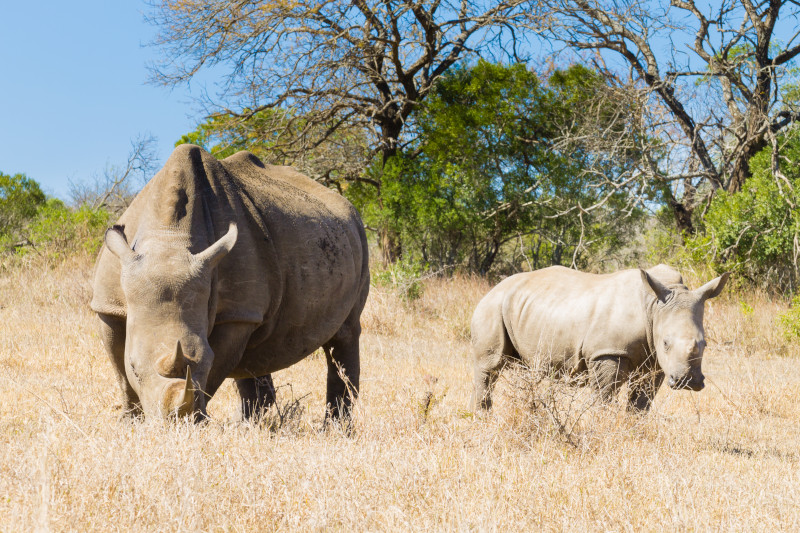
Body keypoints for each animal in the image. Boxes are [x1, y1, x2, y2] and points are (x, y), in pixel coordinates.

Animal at [92, 144, 370, 420]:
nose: (173, 421)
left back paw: (333, 427)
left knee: (345, 334)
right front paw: (131, 420)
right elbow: (121, 373)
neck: (169, 239)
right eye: (135, 368)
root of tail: (349, 208)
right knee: (254, 358)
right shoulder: (108, 305)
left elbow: (214, 371)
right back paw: (249, 424)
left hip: (357, 235)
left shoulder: (237, 314)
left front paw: (197, 420)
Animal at [472, 264, 728, 410]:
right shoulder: (607, 352)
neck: (653, 307)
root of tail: (493, 288)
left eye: (705, 344)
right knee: (489, 366)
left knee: (528, 369)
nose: (689, 382)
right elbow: (604, 396)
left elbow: (641, 403)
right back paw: (483, 419)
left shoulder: (656, 363)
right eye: (666, 343)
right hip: (492, 306)